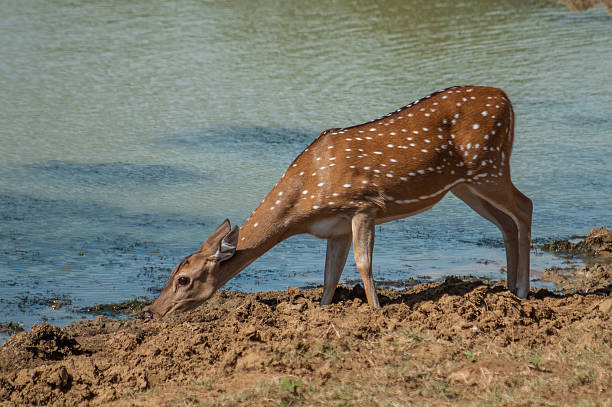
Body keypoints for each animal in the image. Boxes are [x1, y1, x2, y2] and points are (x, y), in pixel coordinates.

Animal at [146, 84, 532, 318]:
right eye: (171, 273)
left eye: (183, 279)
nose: (152, 310)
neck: (304, 204)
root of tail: (506, 98)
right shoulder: (335, 229)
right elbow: (330, 275)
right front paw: (323, 310)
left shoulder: (364, 205)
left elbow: (363, 264)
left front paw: (376, 313)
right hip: (466, 185)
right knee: (506, 223)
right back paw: (510, 291)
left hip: (489, 166)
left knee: (525, 206)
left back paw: (525, 292)